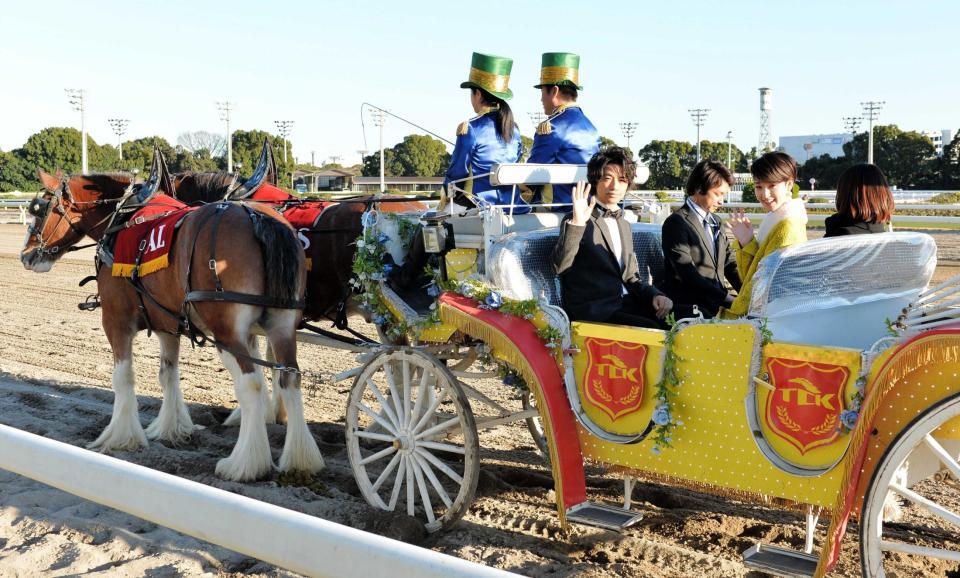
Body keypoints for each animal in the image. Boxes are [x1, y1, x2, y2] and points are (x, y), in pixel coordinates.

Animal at [19, 155, 322, 480]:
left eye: (39, 209)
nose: (25, 255)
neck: (124, 218)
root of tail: (257, 216)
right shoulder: (167, 325)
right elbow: (168, 375)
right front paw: (171, 428)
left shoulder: (115, 321)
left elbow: (123, 377)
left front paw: (121, 436)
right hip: (281, 326)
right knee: (290, 378)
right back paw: (300, 460)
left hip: (228, 333)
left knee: (251, 384)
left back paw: (244, 464)